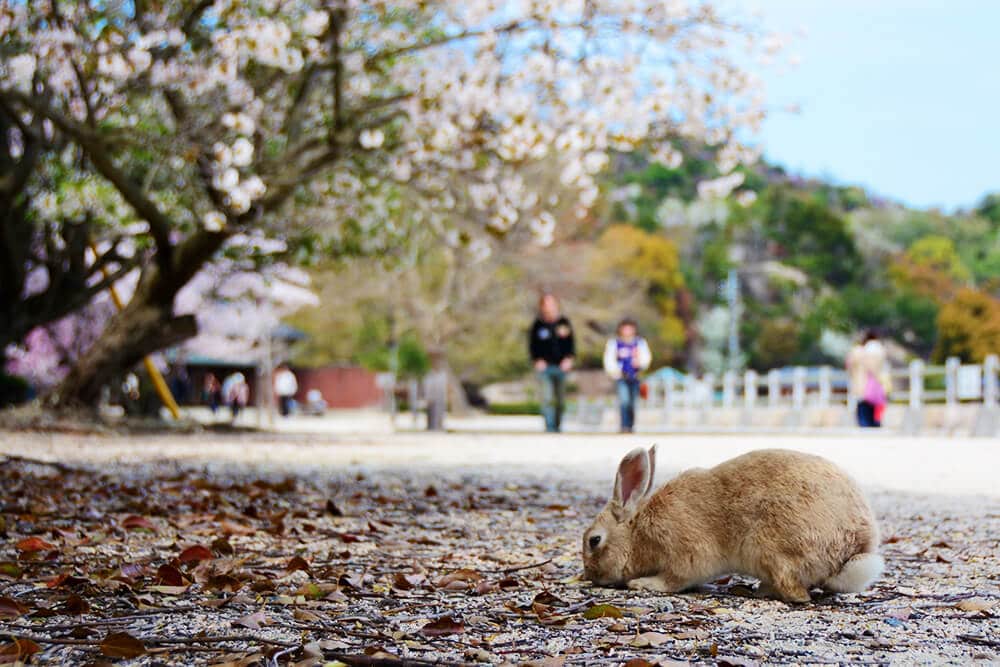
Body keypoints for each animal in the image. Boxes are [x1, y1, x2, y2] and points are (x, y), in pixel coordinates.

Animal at [584, 446, 884, 604]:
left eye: (594, 540)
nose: (590, 575)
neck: (637, 531)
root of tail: (855, 548)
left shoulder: (686, 554)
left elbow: (674, 579)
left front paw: (642, 583)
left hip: (770, 548)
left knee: (797, 593)